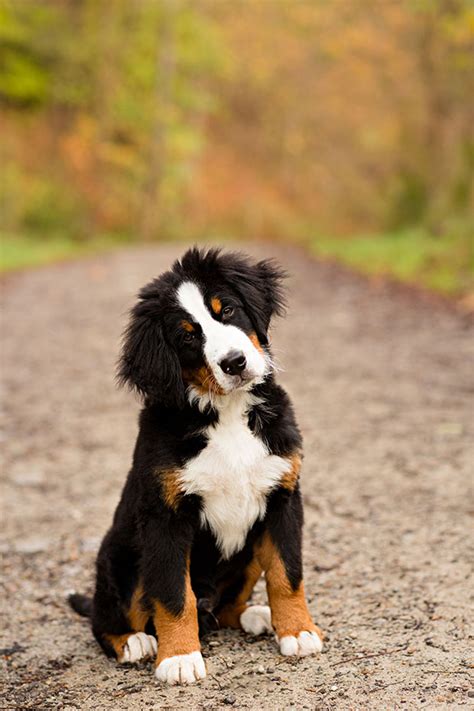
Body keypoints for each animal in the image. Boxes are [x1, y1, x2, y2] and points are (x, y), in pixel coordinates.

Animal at [69, 249, 322, 684]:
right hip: (122, 556)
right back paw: (133, 642)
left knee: (228, 605)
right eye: (188, 336)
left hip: (248, 551)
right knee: (106, 619)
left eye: (229, 310)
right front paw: (180, 657)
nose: (235, 362)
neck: (227, 412)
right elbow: (173, 594)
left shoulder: (283, 496)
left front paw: (298, 631)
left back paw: (257, 615)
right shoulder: (165, 517)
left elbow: (287, 574)